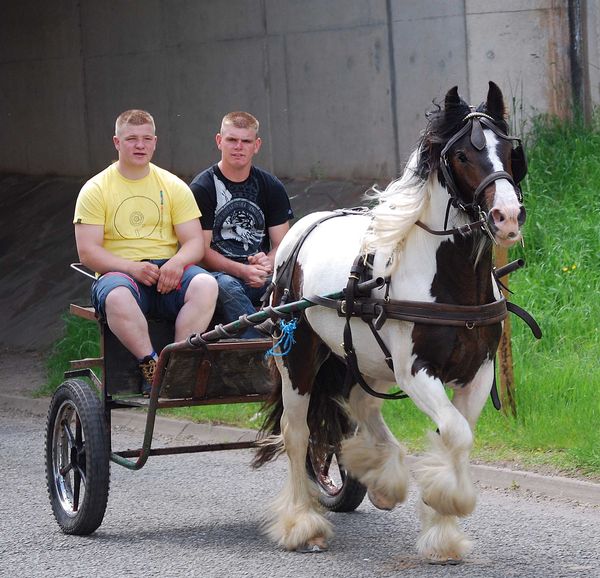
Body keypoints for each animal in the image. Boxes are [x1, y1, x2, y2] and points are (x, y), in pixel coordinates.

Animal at [253, 82, 528, 564]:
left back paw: (381, 475)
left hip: (363, 359)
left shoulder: (478, 373)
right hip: (299, 357)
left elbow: (458, 436)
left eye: (508, 151)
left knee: (360, 405)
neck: (452, 280)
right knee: (297, 433)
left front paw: (443, 530)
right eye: (463, 155)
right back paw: (302, 524)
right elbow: (455, 434)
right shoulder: (415, 371)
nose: (508, 217)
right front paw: (446, 502)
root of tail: (301, 227)